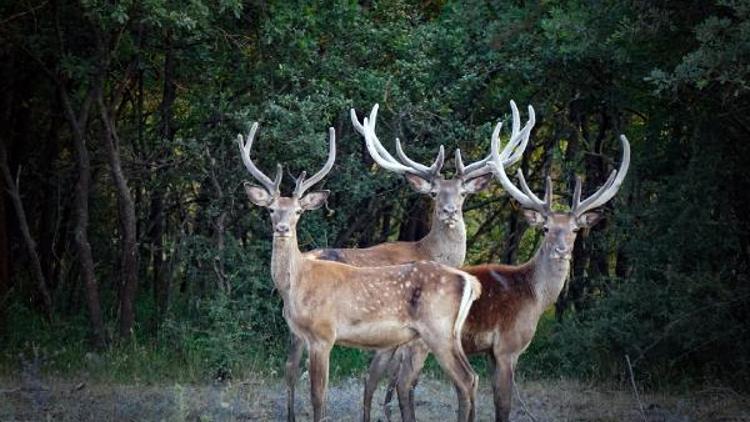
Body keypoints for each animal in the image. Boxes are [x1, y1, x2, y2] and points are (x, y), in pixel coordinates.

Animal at [241, 120, 488, 420]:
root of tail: (470, 281)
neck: (297, 284)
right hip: (447, 333)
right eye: (271, 209)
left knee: (465, 379)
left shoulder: (323, 334)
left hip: (437, 329)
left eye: (299, 211)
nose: (282, 228)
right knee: (469, 378)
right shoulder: (303, 333)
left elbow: (318, 397)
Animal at [280, 101, 536, 422]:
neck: (426, 250)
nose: (450, 212)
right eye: (435, 193)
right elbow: (399, 382)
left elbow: (383, 381)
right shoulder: (410, 338)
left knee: (290, 368)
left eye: (463, 194)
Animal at [378, 134, 632, 420]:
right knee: (404, 382)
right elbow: (503, 404)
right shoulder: (508, 347)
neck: (534, 296)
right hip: (423, 340)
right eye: (546, 228)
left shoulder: (491, 352)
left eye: (575, 229)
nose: (561, 250)